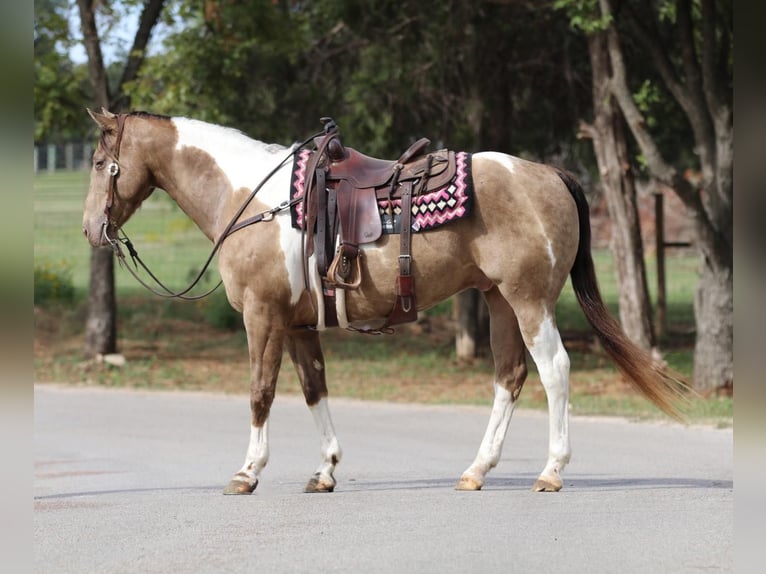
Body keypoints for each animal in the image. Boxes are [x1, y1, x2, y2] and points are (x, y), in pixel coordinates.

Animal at [81, 110, 688, 498]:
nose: (91, 229)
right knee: (510, 376)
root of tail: (550, 174)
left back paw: (552, 471)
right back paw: (476, 470)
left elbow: (260, 392)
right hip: (498, 300)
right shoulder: (298, 325)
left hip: (529, 298)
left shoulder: (263, 316)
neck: (251, 199)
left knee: (554, 370)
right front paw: (325, 471)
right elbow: (314, 389)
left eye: (96, 161)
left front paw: (248, 472)